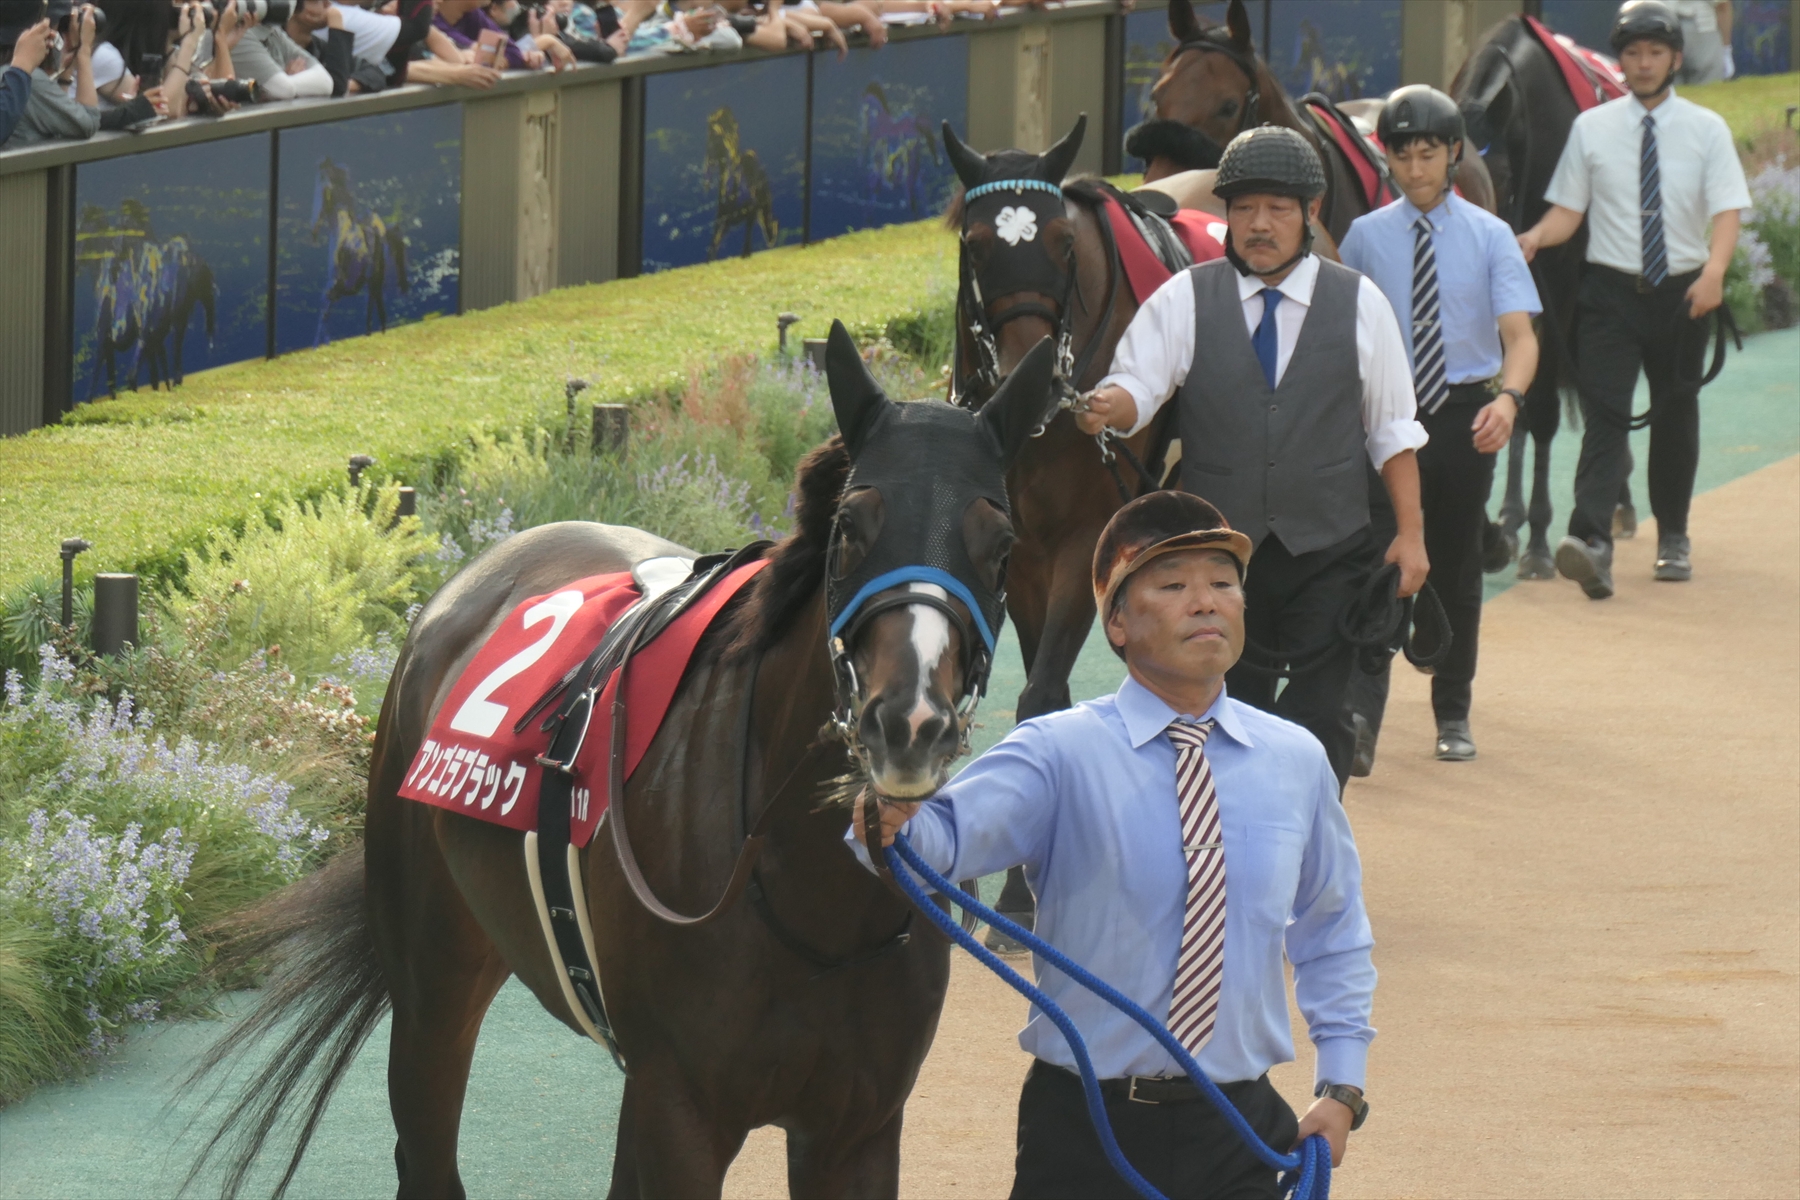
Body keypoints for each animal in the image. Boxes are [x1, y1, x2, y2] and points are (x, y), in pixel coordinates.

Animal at [184, 324, 1063, 1199]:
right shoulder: (683, 1107)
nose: (907, 722)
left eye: (1001, 546)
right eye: (850, 526)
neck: (806, 897)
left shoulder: (857, 1125)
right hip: (433, 981)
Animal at [311, 157, 410, 347]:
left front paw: (321, 342)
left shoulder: (339, 285)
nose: (314, 232)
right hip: (374, 281)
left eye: (320, 186)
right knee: (377, 309)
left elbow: (324, 310)